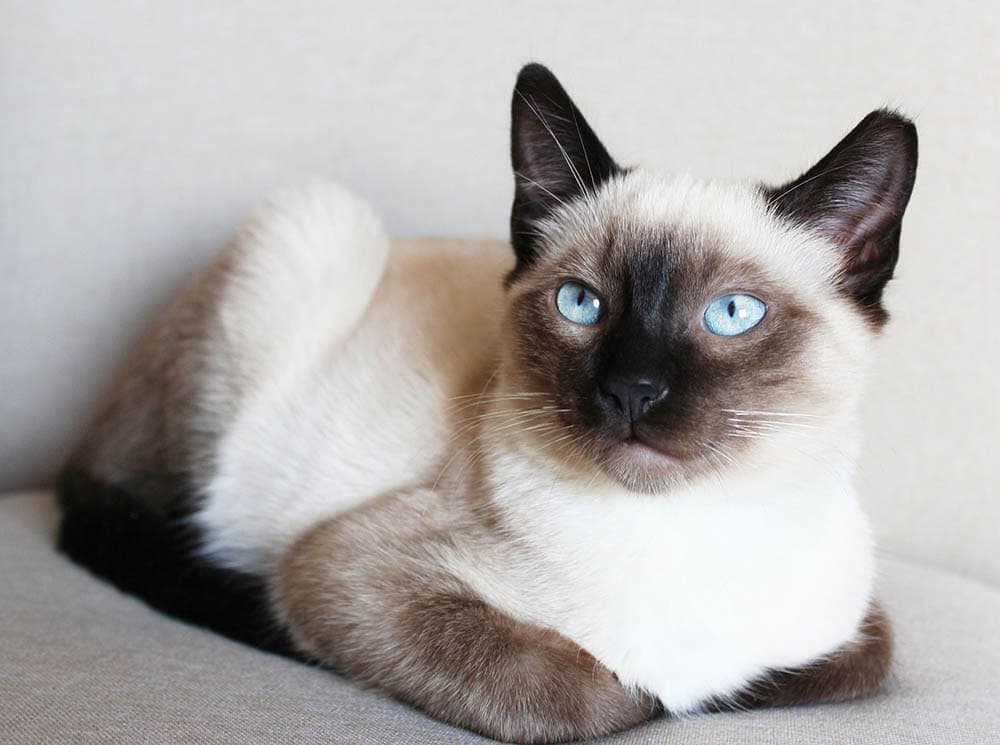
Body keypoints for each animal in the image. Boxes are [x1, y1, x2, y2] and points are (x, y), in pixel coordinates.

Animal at [56, 65, 916, 744]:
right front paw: (654, 696)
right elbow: (592, 696)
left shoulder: (856, 625)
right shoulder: (340, 567)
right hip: (310, 228)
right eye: (580, 304)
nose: (630, 390)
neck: (683, 532)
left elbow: (852, 661)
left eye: (733, 314)